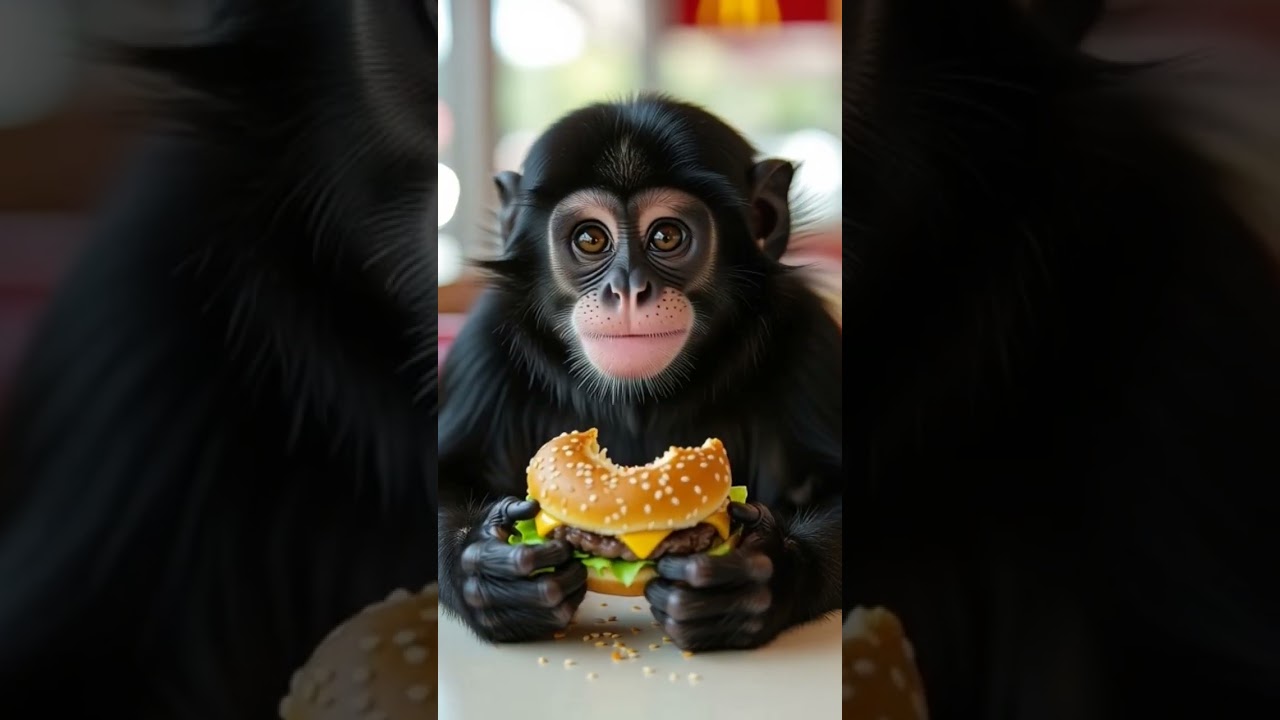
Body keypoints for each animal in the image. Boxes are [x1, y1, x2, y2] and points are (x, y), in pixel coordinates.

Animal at [437, 94, 843, 652]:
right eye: (591, 239)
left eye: (667, 236)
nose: (628, 288)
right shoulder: (482, 343)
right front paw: (487, 570)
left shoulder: (811, 339)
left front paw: (759, 573)